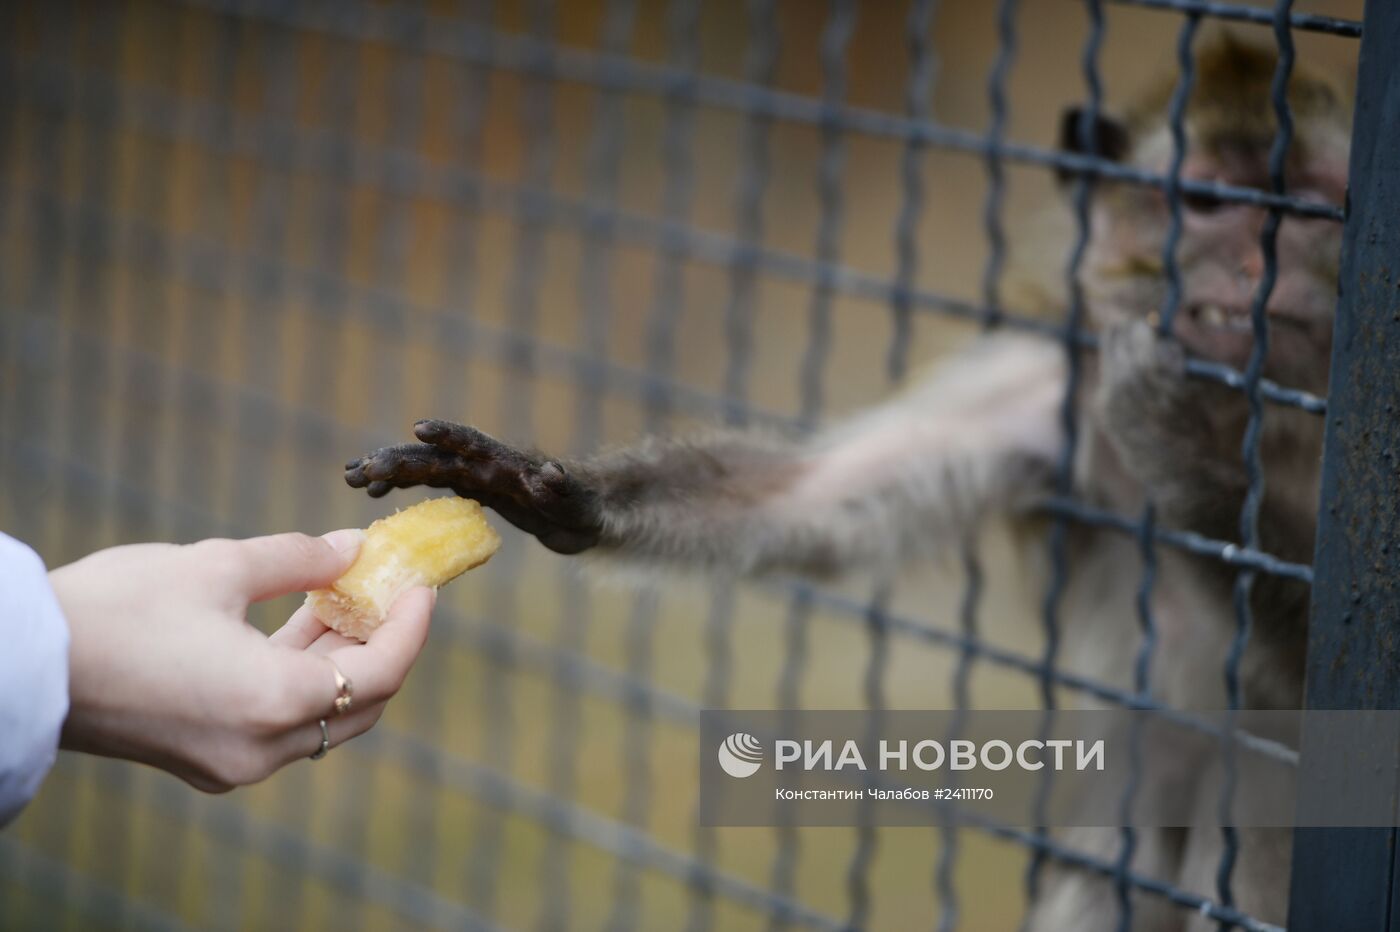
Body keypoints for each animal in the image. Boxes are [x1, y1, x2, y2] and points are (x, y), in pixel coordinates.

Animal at [344, 36, 1349, 929]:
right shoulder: (1052, 386)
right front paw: (546, 492)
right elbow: (809, 501)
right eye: (1211, 201)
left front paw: (1185, 447)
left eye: (1309, 211)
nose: (1254, 270)